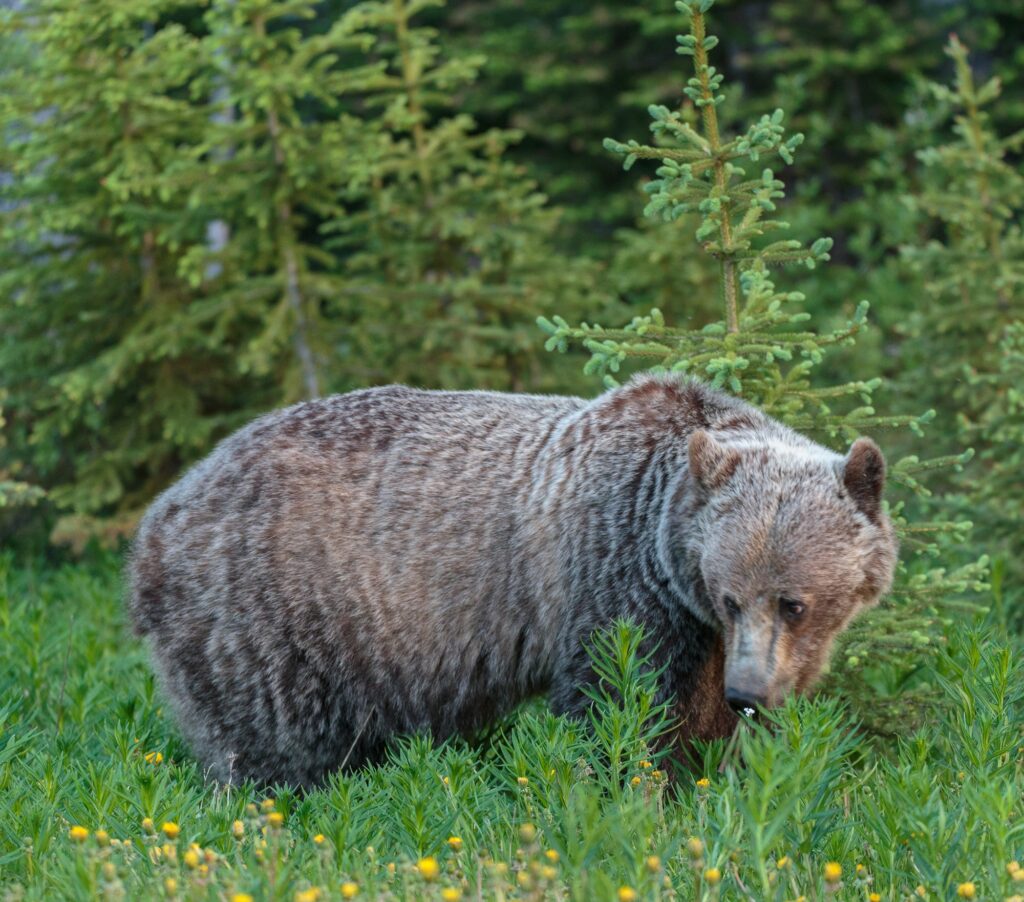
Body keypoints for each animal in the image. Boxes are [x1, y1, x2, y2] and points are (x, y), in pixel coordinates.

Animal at [127, 375, 898, 787]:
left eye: (793, 603)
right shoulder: (614, 585)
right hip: (277, 608)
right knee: (272, 736)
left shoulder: (699, 636)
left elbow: (703, 732)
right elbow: (617, 705)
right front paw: (628, 792)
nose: (750, 693)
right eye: (733, 595)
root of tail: (159, 517)